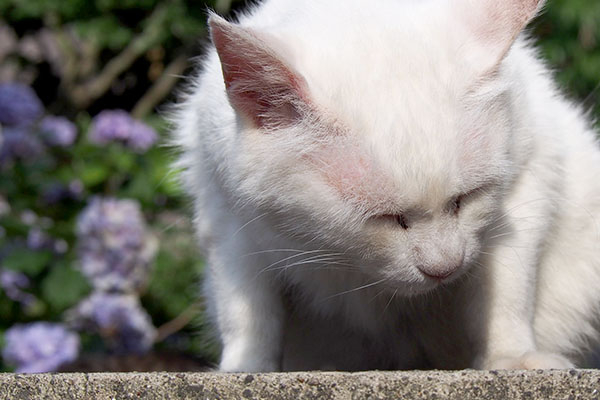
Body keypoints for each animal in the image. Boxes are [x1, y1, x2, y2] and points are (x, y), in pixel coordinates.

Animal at [171, 0, 600, 372]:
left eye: (465, 199)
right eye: (387, 218)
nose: (444, 268)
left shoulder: (529, 181)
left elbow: (505, 292)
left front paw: (511, 358)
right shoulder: (226, 222)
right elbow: (246, 312)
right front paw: (246, 369)